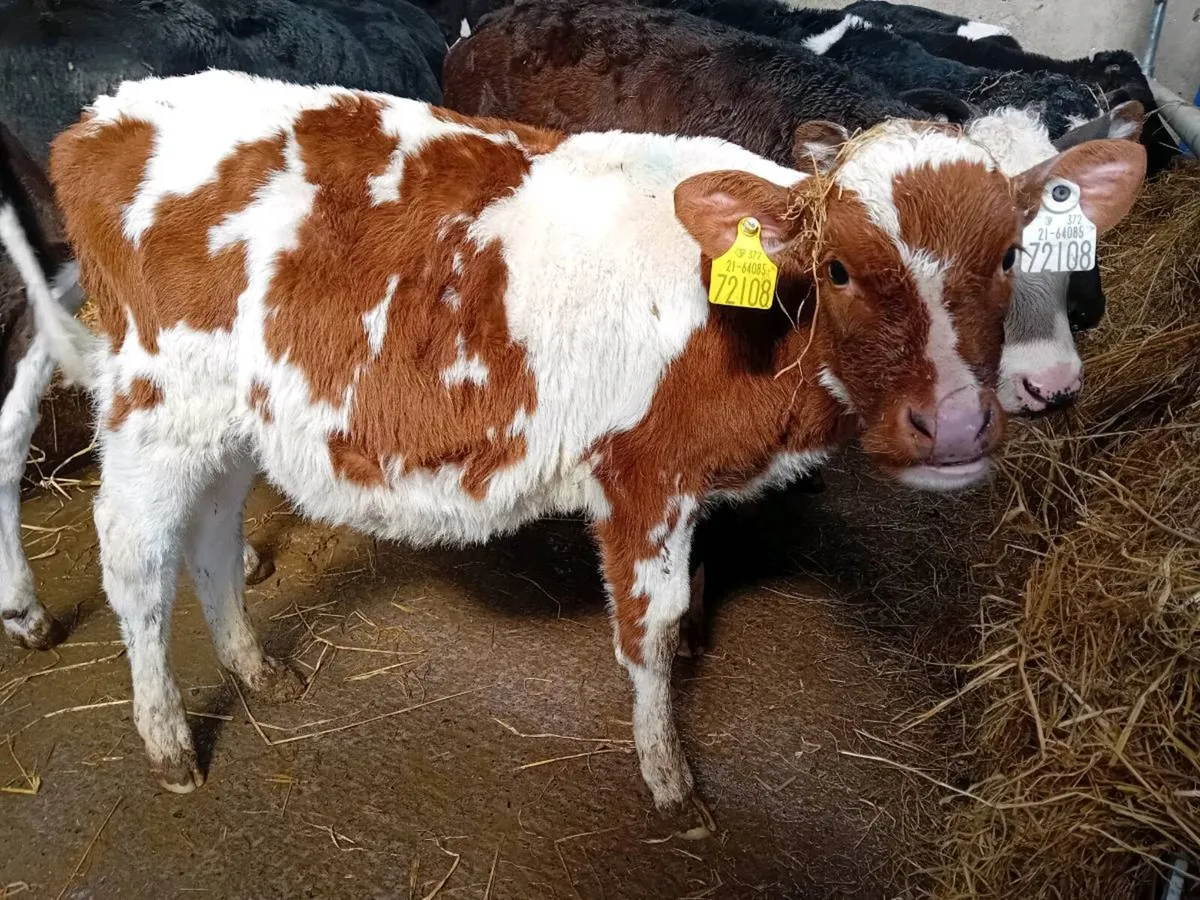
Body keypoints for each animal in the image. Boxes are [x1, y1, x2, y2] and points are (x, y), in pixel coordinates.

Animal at [26, 69, 1144, 803]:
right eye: (840, 269)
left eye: (1011, 254)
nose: (957, 419)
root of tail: (101, 115)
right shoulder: (642, 475)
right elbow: (649, 630)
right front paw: (668, 774)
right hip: (154, 403)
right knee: (135, 559)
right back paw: (168, 742)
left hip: (232, 418)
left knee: (214, 542)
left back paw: (258, 668)